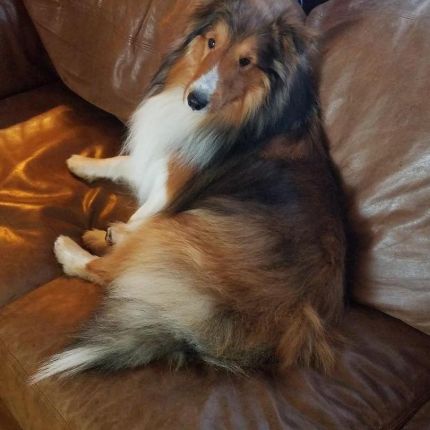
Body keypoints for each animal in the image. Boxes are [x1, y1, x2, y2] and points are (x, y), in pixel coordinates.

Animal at [32, 0, 346, 382]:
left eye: (245, 61)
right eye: (211, 42)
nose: (195, 100)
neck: (243, 111)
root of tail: (297, 318)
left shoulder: (172, 186)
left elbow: (140, 216)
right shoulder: (159, 157)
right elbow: (123, 162)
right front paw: (81, 163)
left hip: (187, 228)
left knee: (112, 270)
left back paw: (75, 248)